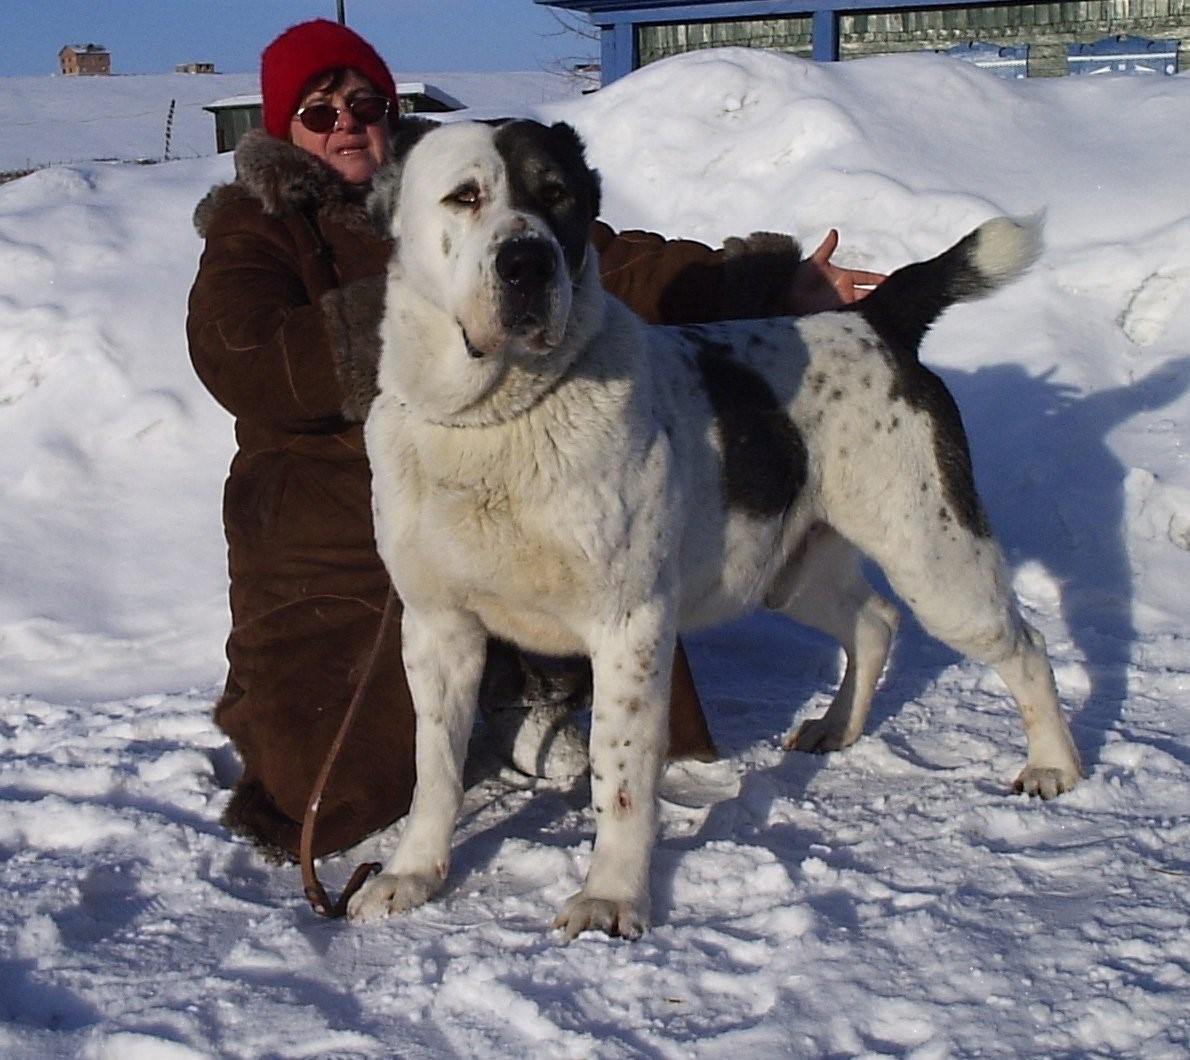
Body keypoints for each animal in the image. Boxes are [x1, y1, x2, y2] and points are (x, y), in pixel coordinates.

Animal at [347, 120, 1090, 942]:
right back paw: (836, 728)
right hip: (791, 571)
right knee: (873, 621)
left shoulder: (630, 626)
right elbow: (435, 765)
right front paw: (412, 873)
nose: (527, 262)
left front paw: (612, 895)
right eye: (465, 196)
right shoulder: (438, 627)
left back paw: (1053, 764)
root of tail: (873, 321)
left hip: (937, 562)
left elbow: (620, 769)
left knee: (1024, 645)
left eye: (557, 194)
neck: (498, 422)